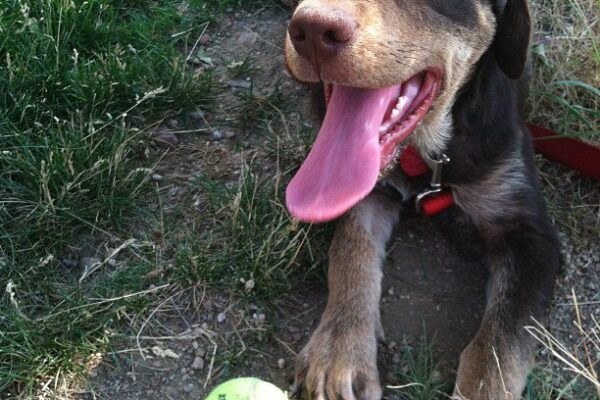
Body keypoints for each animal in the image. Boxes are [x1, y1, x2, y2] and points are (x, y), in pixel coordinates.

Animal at [284, 0, 560, 400]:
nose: (313, 30)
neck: (423, 155)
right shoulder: (367, 193)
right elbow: (350, 253)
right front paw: (337, 353)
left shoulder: (530, 235)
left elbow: (497, 349)